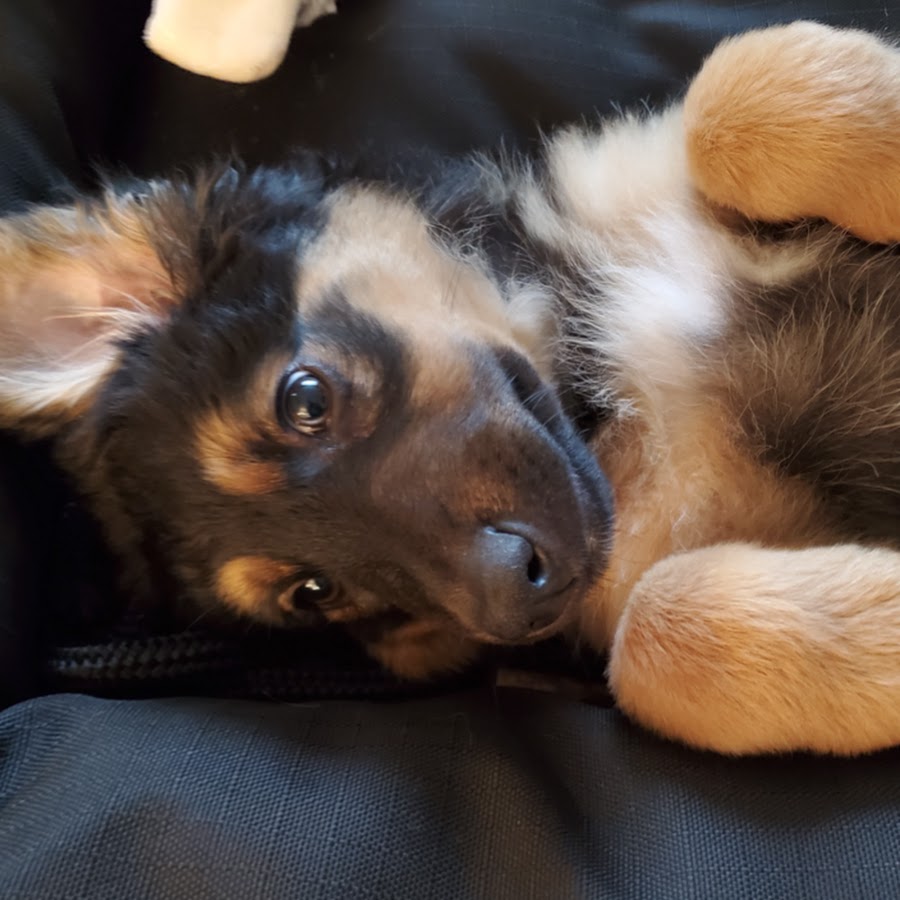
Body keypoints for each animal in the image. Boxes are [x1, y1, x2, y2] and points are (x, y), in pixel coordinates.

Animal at [2, 22, 900, 756]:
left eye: (304, 400)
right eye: (316, 593)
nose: (515, 592)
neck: (605, 408)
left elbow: (736, 92)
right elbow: (653, 629)